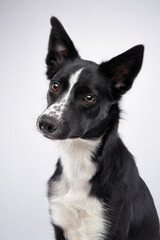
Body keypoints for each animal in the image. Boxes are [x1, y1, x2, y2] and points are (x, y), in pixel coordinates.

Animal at [36, 17, 160, 240]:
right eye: (55, 86)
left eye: (89, 98)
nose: (46, 123)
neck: (78, 160)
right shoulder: (60, 225)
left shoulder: (110, 229)